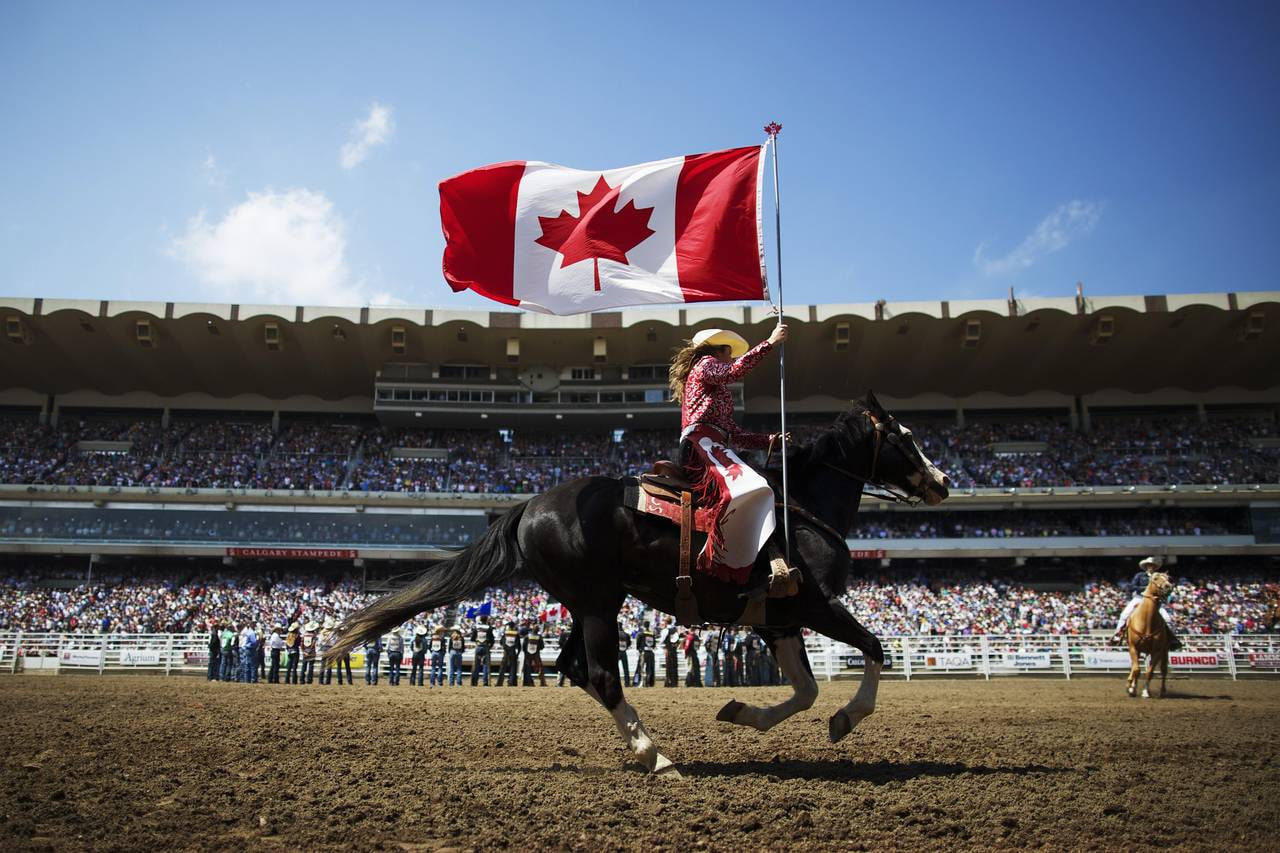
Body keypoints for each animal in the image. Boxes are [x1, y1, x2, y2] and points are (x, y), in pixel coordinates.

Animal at [330, 394, 952, 773]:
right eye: (906, 437)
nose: (944, 481)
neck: (801, 510)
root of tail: (531, 503)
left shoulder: (778, 622)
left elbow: (805, 690)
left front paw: (742, 714)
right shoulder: (818, 607)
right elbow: (872, 649)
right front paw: (848, 718)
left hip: (586, 605)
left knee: (574, 667)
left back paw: (643, 747)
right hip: (599, 604)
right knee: (603, 674)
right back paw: (657, 756)